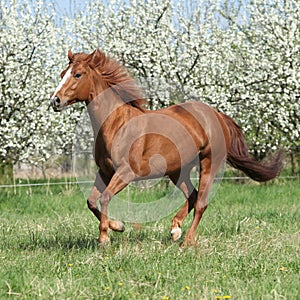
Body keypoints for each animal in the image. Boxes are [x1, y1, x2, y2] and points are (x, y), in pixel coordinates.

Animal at [48, 49, 282, 246]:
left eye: (77, 75)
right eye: (62, 73)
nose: (55, 101)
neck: (117, 124)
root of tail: (216, 115)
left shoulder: (126, 172)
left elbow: (104, 198)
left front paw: (105, 238)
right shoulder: (105, 171)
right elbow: (91, 201)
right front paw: (118, 226)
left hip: (209, 162)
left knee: (201, 202)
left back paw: (187, 241)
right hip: (178, 169)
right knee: (192, 195)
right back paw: (175, 229)